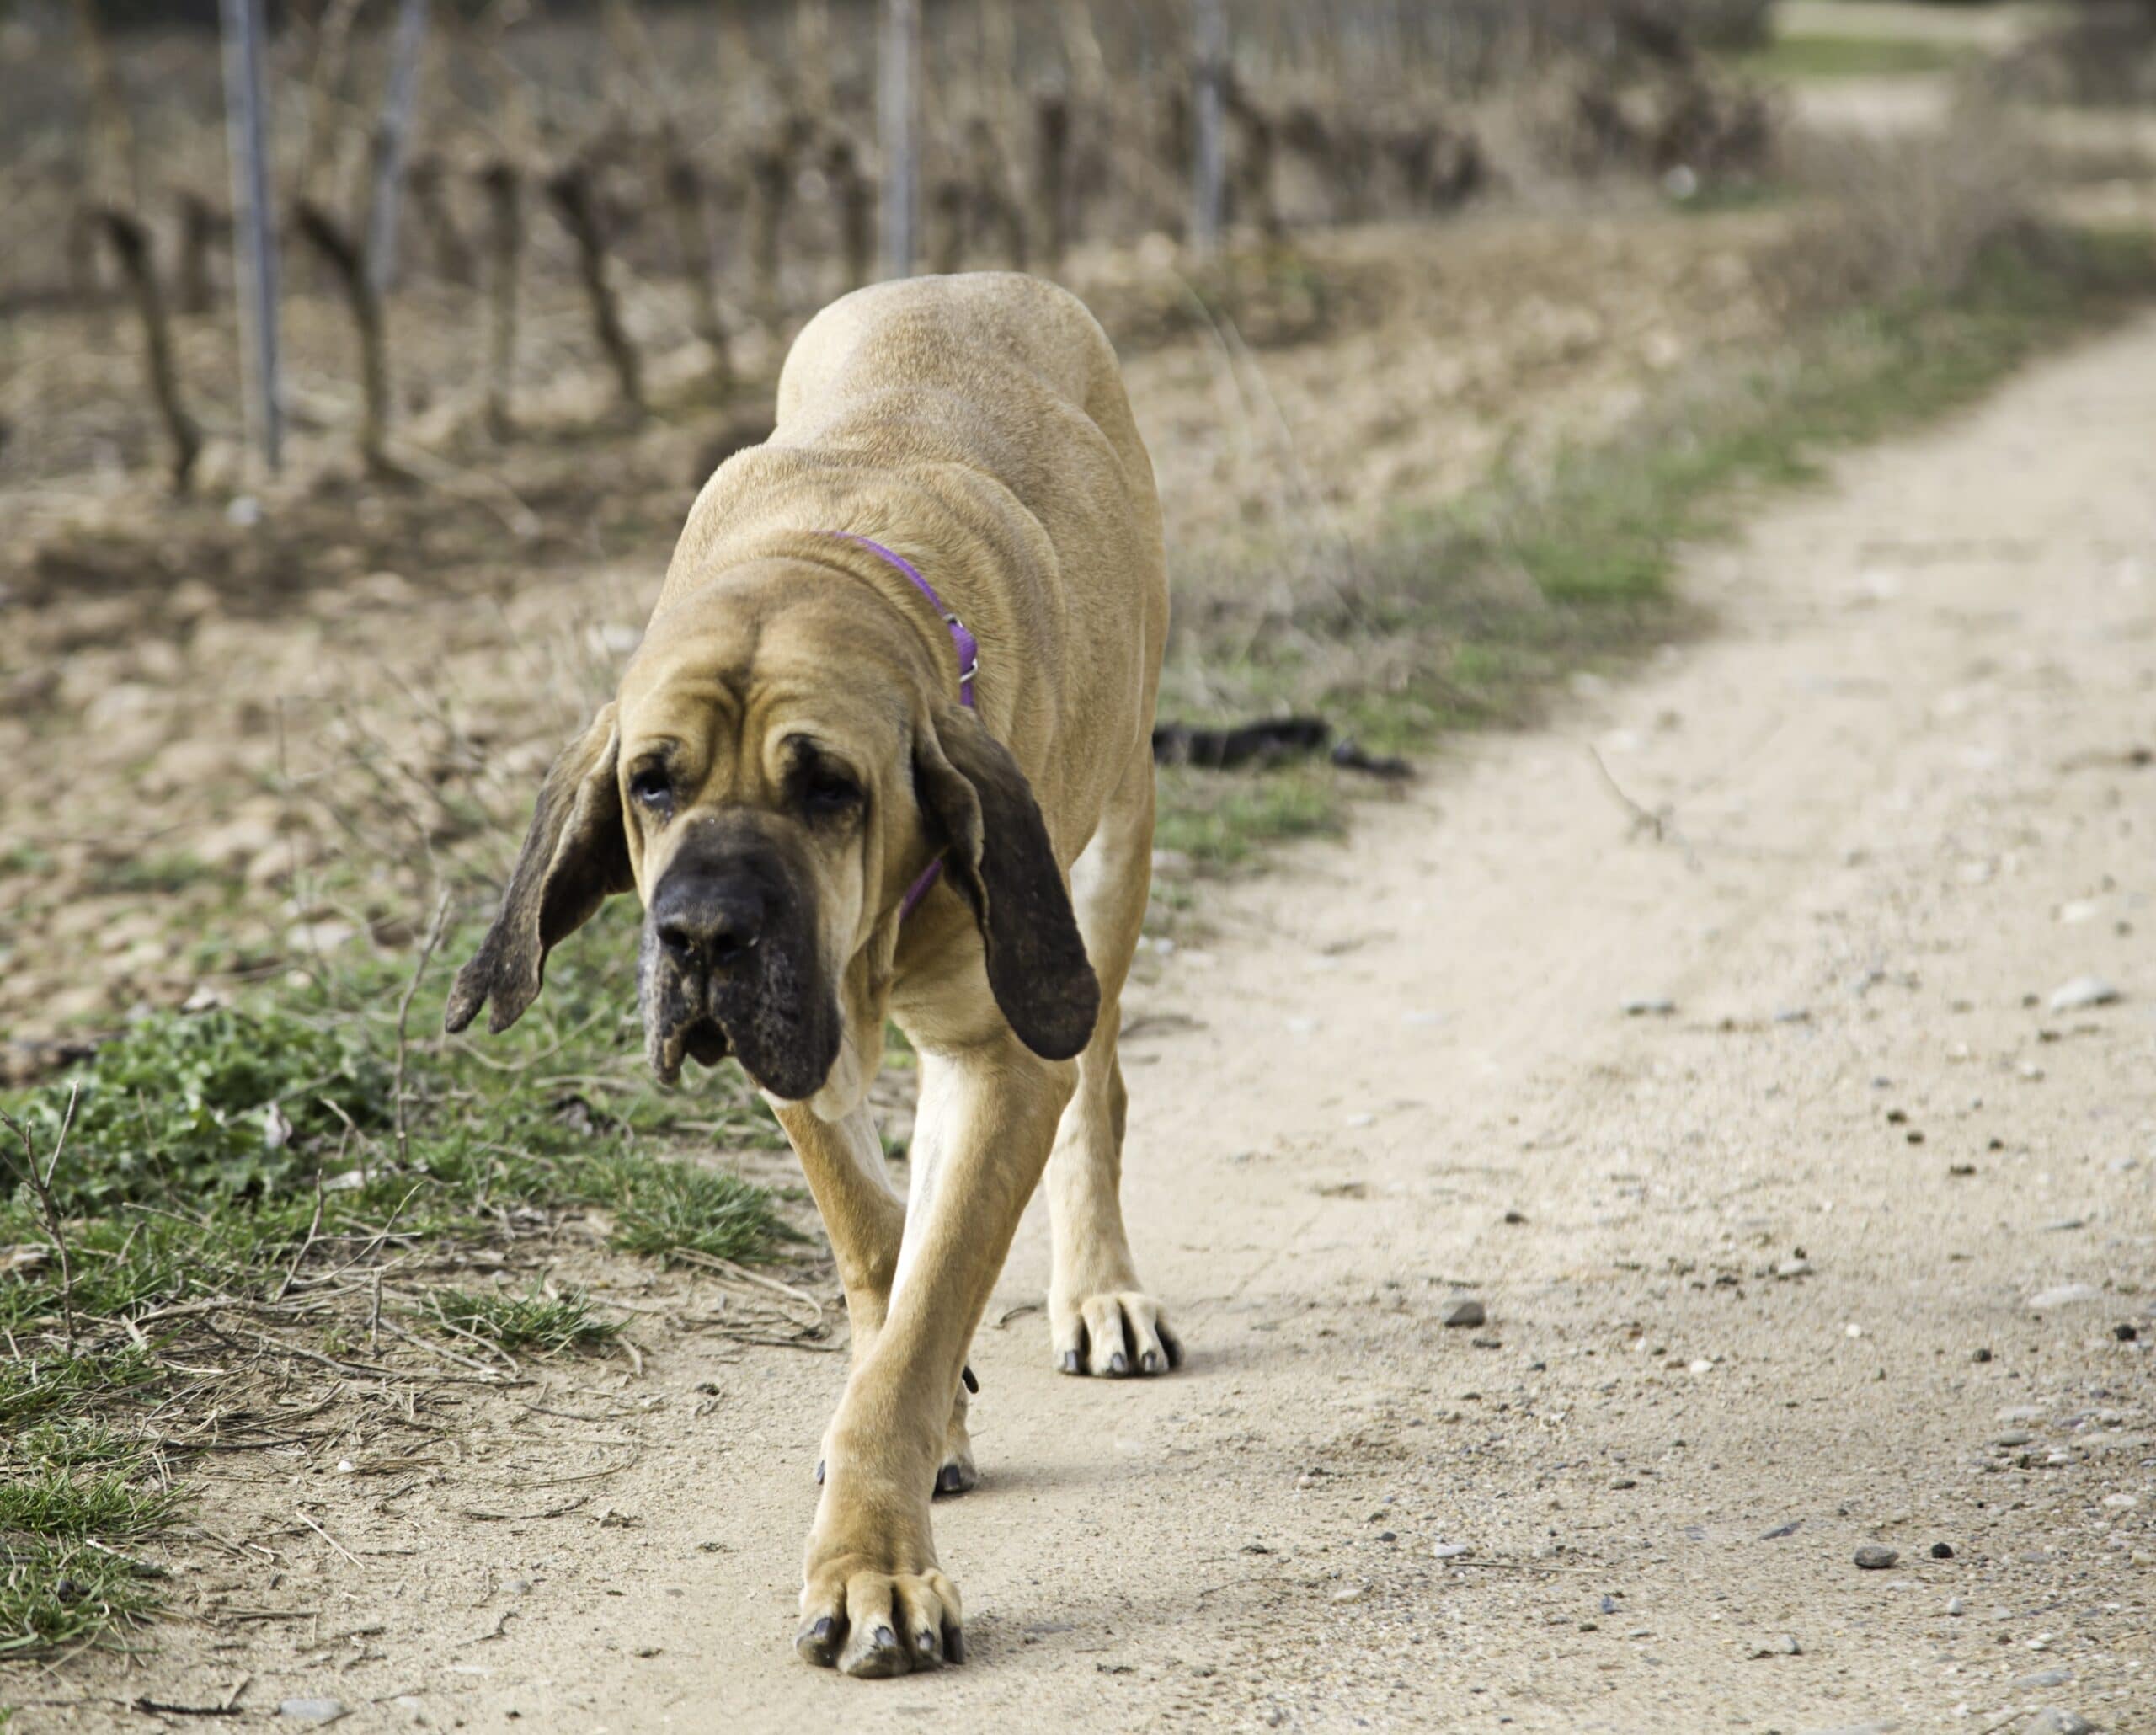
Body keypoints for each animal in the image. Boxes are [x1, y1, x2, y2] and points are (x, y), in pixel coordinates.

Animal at [444, 278, 1172, 1672]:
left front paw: (874, 1562)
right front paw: (925, 1420)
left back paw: (1101, 1291)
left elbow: (927, 1302)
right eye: (650, 782)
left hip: (1110, 861)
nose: (702, 936)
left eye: (829, 788)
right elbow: (885, 1255)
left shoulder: (1009, 1047)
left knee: (1099, 1093)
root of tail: (975, 279)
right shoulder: (804, 1056)